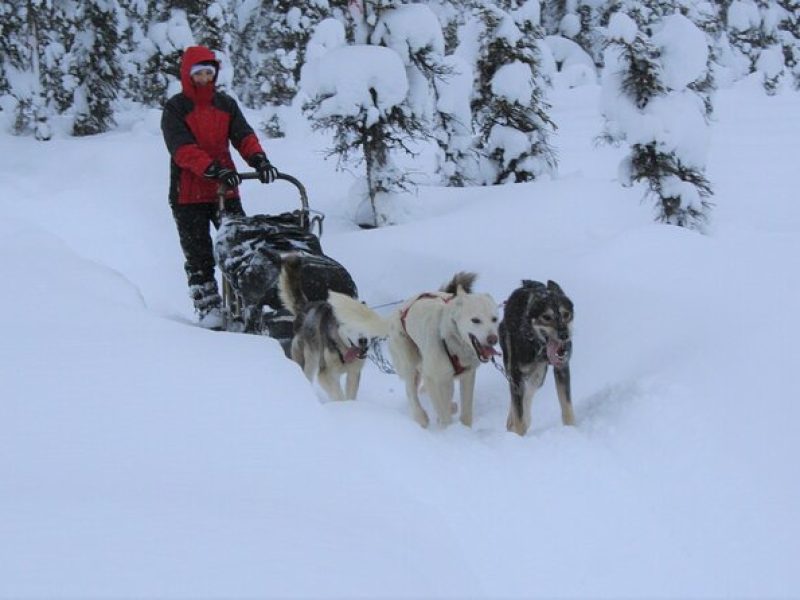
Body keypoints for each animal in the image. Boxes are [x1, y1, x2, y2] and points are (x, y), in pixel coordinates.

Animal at [390, 272, 500, 426]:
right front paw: (448, 429)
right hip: (409, 362)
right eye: (475, 320)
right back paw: (421, 417)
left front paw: (465, 427)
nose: (493, 339)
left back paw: (450, 406)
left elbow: (466, 410)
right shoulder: (433, 377)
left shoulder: (467, 375)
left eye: (494, 319)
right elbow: (444, 414)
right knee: (410, 391)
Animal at [500, 282, 576, 436]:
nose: (564, 335)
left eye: (566, 314)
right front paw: (518, 436)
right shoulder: (515, 374)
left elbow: (566, 405)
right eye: (546, 317)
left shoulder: (562, 368)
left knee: (528, 394)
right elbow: (519, 414)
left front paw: (572, 430)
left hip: (538, 376)